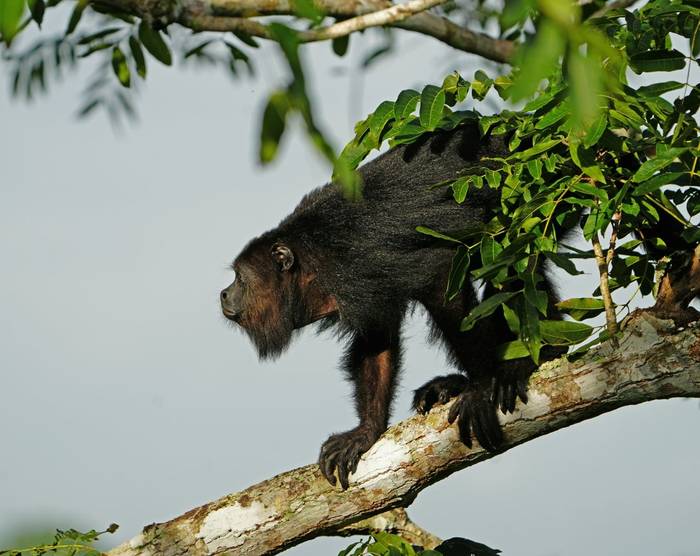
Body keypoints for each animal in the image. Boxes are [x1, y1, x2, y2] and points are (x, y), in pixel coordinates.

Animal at [221, 121, 698, 489]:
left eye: (240, 278)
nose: (223, 294)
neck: (310, 260)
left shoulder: (357, 262)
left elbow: (443, 281)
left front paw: (482, 386)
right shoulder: (363, 287)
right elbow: (377, 341)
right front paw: (366, 432)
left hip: (549, 195)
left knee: (510, 260)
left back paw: (518, 366)